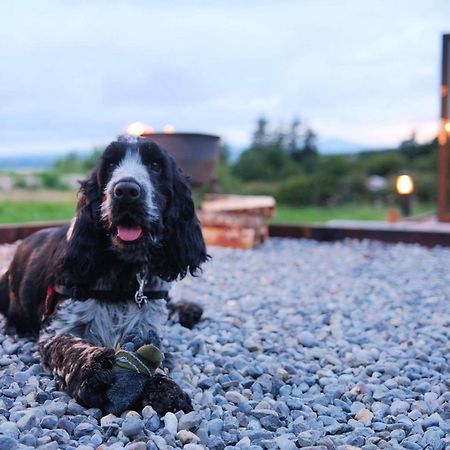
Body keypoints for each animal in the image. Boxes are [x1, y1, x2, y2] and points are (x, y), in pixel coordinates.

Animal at [0, 137, 208, 414]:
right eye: (110, 166)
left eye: (155, 165)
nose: (126, 191)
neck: (122, 271)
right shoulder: (55, 330)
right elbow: (68, 347)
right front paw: (93, 371)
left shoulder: (145, 325)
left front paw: (165, 388)